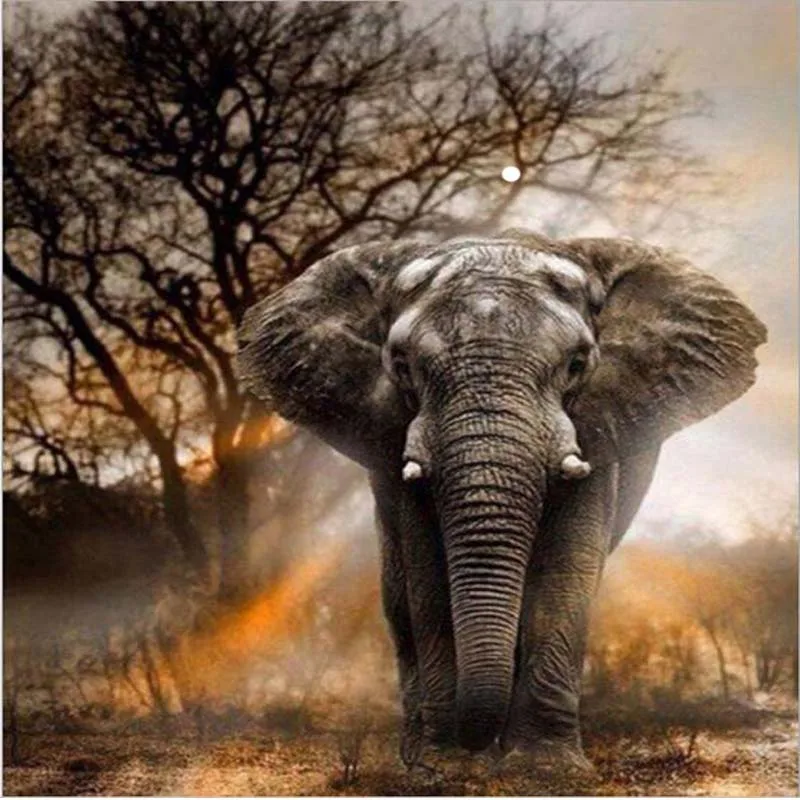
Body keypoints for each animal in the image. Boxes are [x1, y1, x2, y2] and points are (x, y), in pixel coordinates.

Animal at [237, 229, 766, 769]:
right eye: (401, 366)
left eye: (577, 364)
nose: (472, 740)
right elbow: (428, 574)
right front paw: (445, 766)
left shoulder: (597, 427)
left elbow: (565, 567)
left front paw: (546, 768)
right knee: (398, 599)